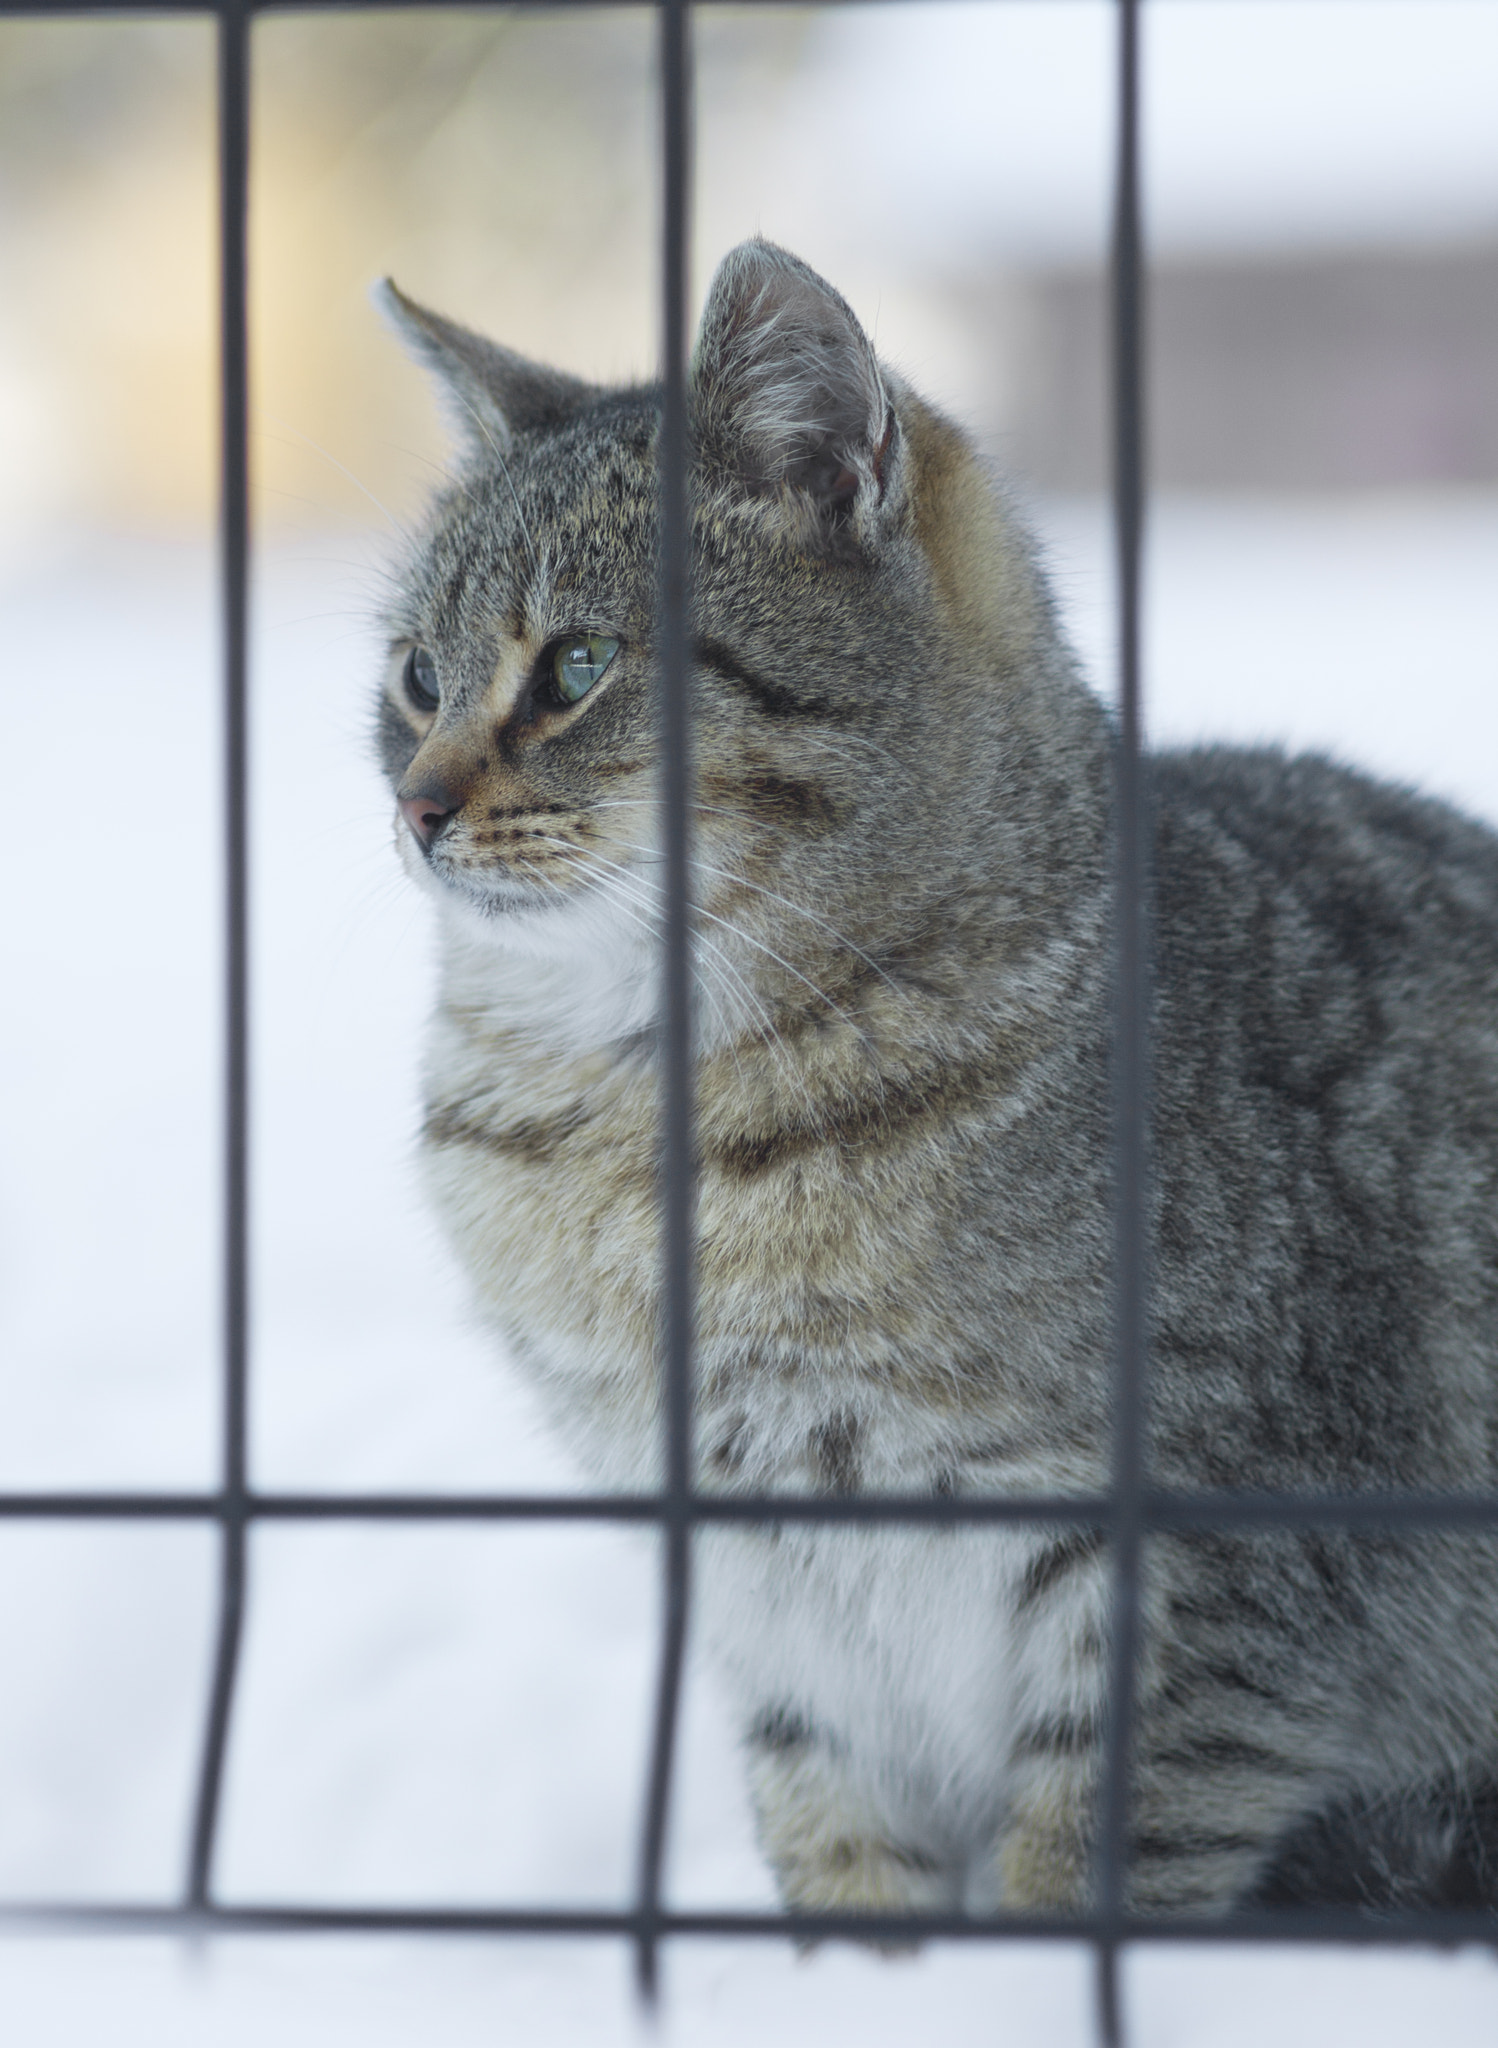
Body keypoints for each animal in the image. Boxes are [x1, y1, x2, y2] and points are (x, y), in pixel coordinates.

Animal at [377, 239, 1498, 1916]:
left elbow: (1083, 1864)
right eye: (413, 676)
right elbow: (844, 1861)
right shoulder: (771, 1610)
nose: (415, 803)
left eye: (576, 664)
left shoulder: (1200, 1590)